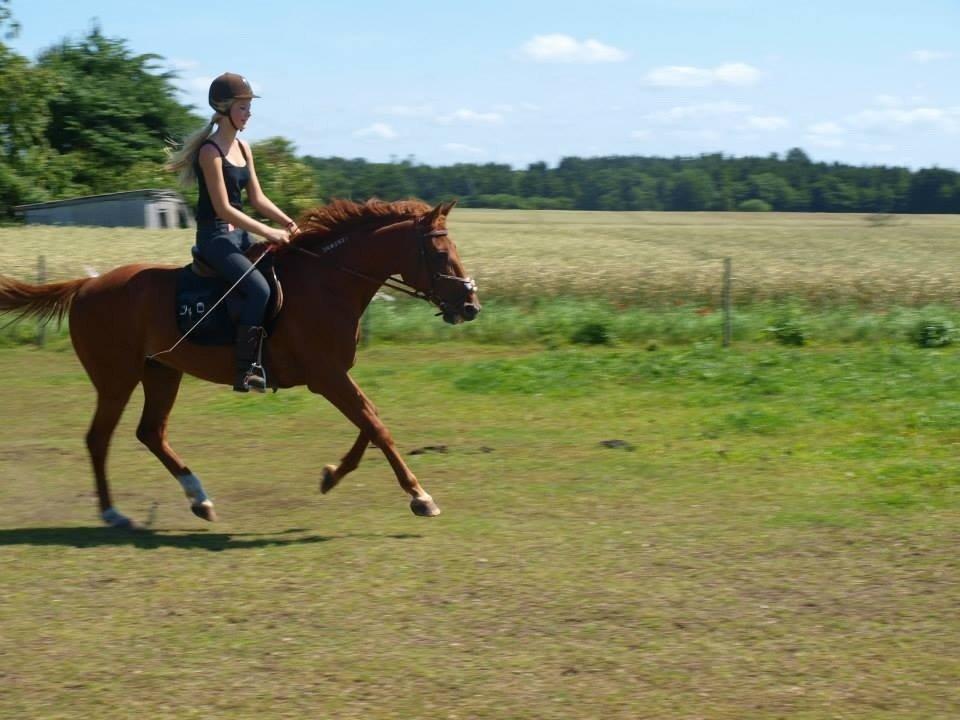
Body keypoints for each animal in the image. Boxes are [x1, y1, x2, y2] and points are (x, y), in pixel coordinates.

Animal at [0, 197, 480, 528]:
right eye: (441, 254)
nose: (471, 305)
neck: (327, 282)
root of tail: (86, 285)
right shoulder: (326, 376)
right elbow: (375, 425)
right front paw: (420, 496)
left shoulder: (334, 374)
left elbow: (370, 422)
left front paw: (331, 475)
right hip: (116, 379)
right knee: (99, 439)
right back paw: (113, 514)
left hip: (162, 372)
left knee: (150, 433)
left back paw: (199, 499)